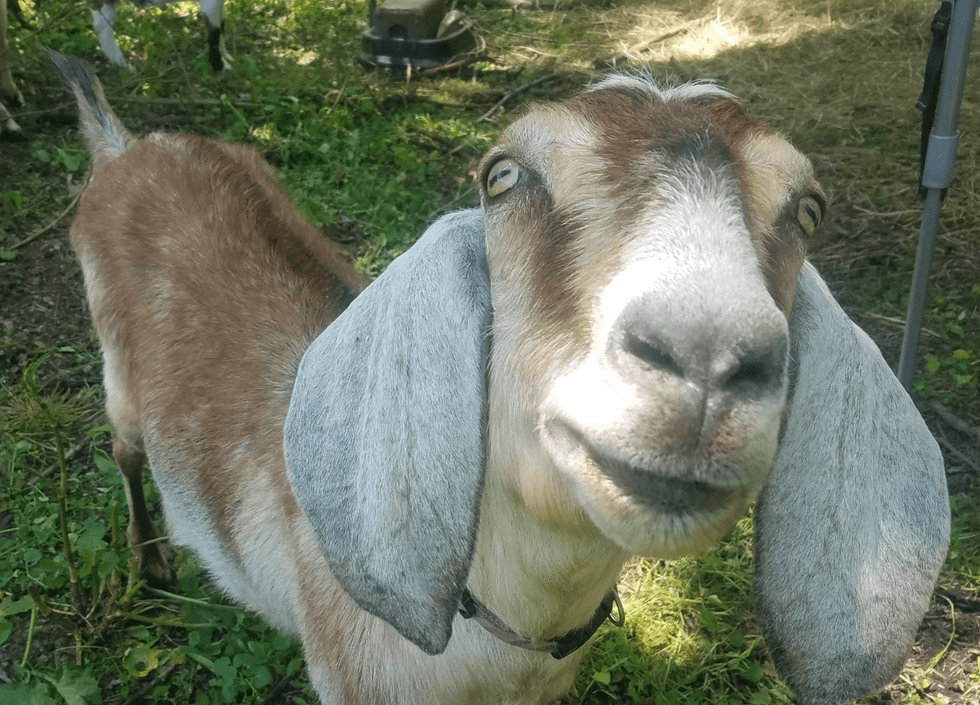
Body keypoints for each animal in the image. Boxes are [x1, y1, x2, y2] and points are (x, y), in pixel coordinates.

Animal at [51, 51, 949, 705]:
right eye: (502, 176)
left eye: (809, 209)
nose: (705, 355)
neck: (499, 649)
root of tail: (128, 147)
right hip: (115, 372)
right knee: (124, 448)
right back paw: (151, 562)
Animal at [91, 0, 228, 72]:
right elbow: (215, 30)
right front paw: (220, 66)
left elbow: (221, 23)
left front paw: (227, 57)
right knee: (101, 24)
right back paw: (123, 64)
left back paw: (120, 63)